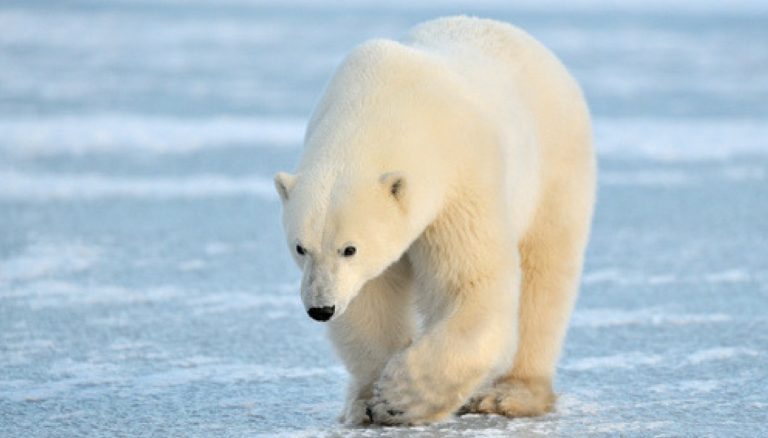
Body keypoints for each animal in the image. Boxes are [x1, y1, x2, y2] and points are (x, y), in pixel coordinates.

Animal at [274, 16, 596, 426]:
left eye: (350, 248)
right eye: (300, 247)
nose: (320, 308)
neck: (383, 103)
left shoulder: (460, 181)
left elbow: (471, 284)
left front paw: (400, 396)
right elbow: (369, 299)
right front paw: (369, 400)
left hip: (555, 167)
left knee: (545, 274)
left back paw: (510, 394)